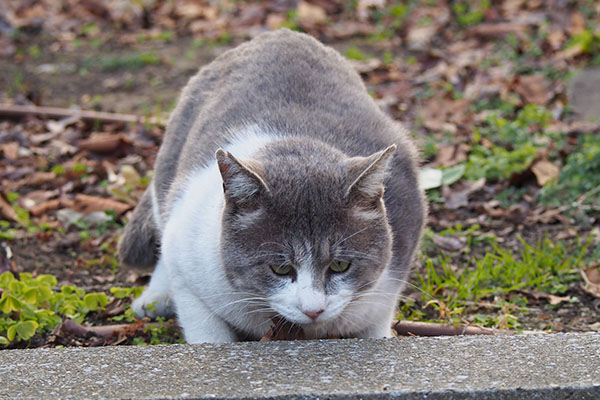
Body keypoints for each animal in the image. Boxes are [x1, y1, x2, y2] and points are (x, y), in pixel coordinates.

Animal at [117, 28, 426, 344]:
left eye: (340, 265)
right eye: (280, 268)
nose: (313, 309)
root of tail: (279, 34)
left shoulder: (387, 283)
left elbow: (375, 326)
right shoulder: (187, 253)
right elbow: (205, 326)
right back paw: (155, 298)